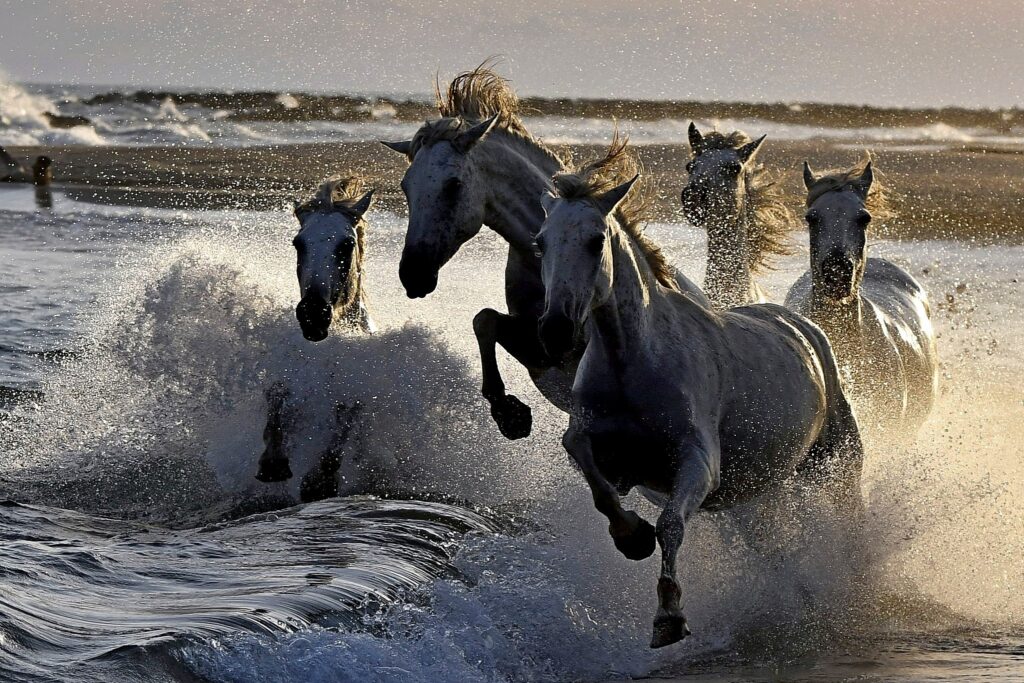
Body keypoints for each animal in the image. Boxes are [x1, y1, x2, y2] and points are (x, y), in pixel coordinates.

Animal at [382, 63, 708, 440]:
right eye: (406, 187)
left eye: (453, 185)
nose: (413, 274)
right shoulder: (540, 352)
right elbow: (484, 320)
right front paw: (510, 414)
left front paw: (510, 412)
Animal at [535, 146, 863, 648]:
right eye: (540, 243)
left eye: (595, 239)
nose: (555, 329)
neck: (633, 362)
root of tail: (806, 326)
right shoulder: (598, 448)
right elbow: (596, 480)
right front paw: (631, 536)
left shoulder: (698, 461)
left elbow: (671, 524)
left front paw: (668, 617)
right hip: (760, 495)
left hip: (836, 460)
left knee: (849, 516)